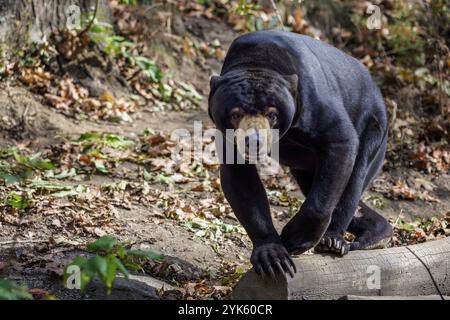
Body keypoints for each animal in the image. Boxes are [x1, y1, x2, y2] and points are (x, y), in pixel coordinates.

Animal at [209, 31, 392, 278]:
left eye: (272, 114)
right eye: (235, 114)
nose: (254, 141)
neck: (257, 61)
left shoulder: (314, 101)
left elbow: (340, 141)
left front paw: (293, 239)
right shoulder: (227, 135)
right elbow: (240, 180)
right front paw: (273, 258)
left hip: (374, 128)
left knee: (354, 178)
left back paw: (334, 241)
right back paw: (377, 231)